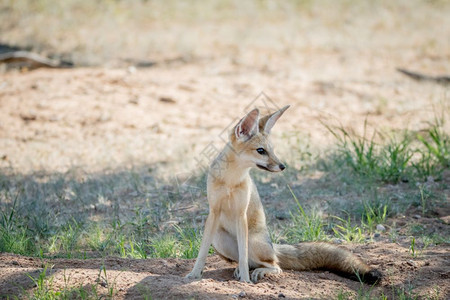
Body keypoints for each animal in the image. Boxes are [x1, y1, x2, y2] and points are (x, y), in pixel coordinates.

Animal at [185, 105, 382, 284]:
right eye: (261, 151)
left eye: (272, 150)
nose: (282, 166)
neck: (230, 181)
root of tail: (272, 244)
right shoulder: (214, 211)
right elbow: (202, 252)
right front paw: (195, 274)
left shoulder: (241, 214)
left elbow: (244, 258)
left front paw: (245, 281)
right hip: (219, 239)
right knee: (251, 261)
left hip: (252, 242)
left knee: (274, 265)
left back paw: (256, 272)